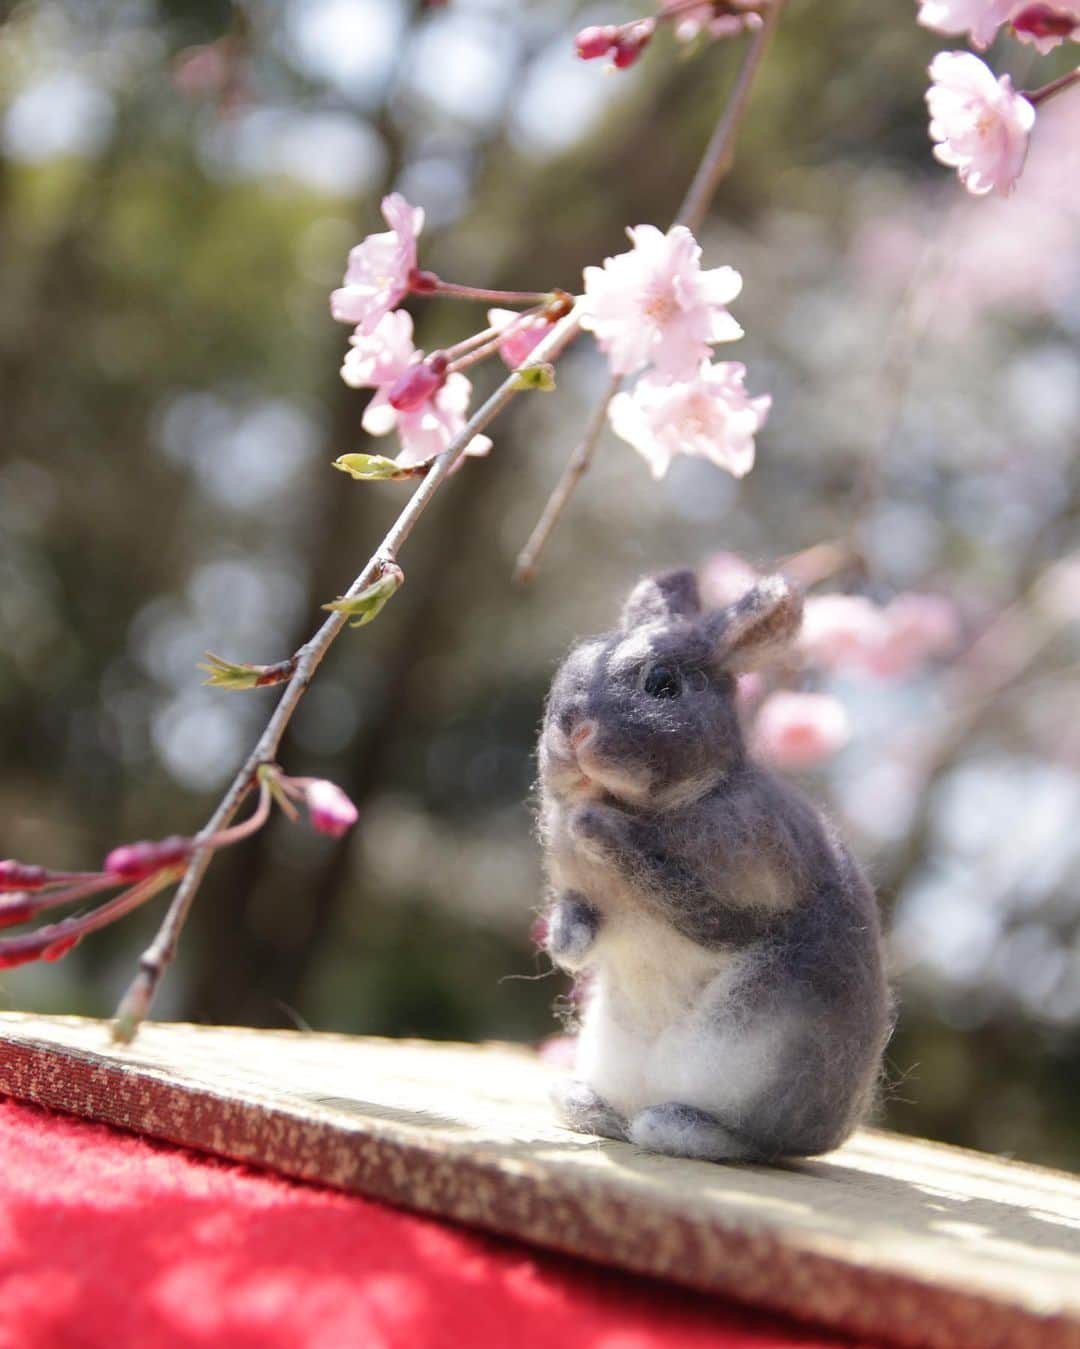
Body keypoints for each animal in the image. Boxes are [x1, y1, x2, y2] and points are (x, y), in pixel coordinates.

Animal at [533, 569, 889, 1160]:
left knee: (753, 1143)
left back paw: (672, 1127)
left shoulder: (752, 885)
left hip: (744, 1066)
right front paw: (565, 944)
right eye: (572, 666)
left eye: (663, 683)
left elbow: (682, 898)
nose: (572, 729)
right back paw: (585, 1105)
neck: (669, 803)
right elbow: (579, 923)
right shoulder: (580, 898)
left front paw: (595, 827)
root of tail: (828, 1134)